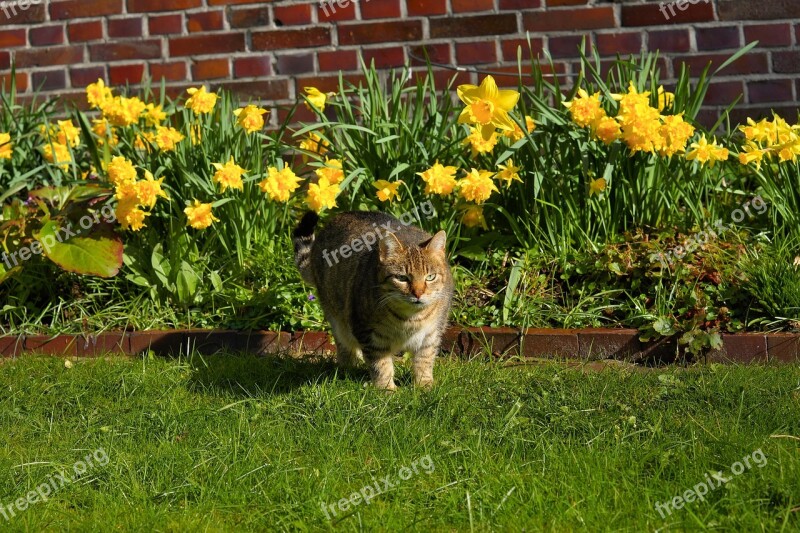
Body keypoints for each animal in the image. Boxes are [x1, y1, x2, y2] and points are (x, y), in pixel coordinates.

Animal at [296, 211, 456, 390]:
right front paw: (386, 388)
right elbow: (381, 364)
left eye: (430, 277)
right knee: (344, 344)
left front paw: (424, 385)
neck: (410, 319)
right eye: (402, 278)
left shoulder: (431, 334)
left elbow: (424, 360)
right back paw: (348, 367)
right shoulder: (368, 334)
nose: (418, 293)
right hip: (337, 318)